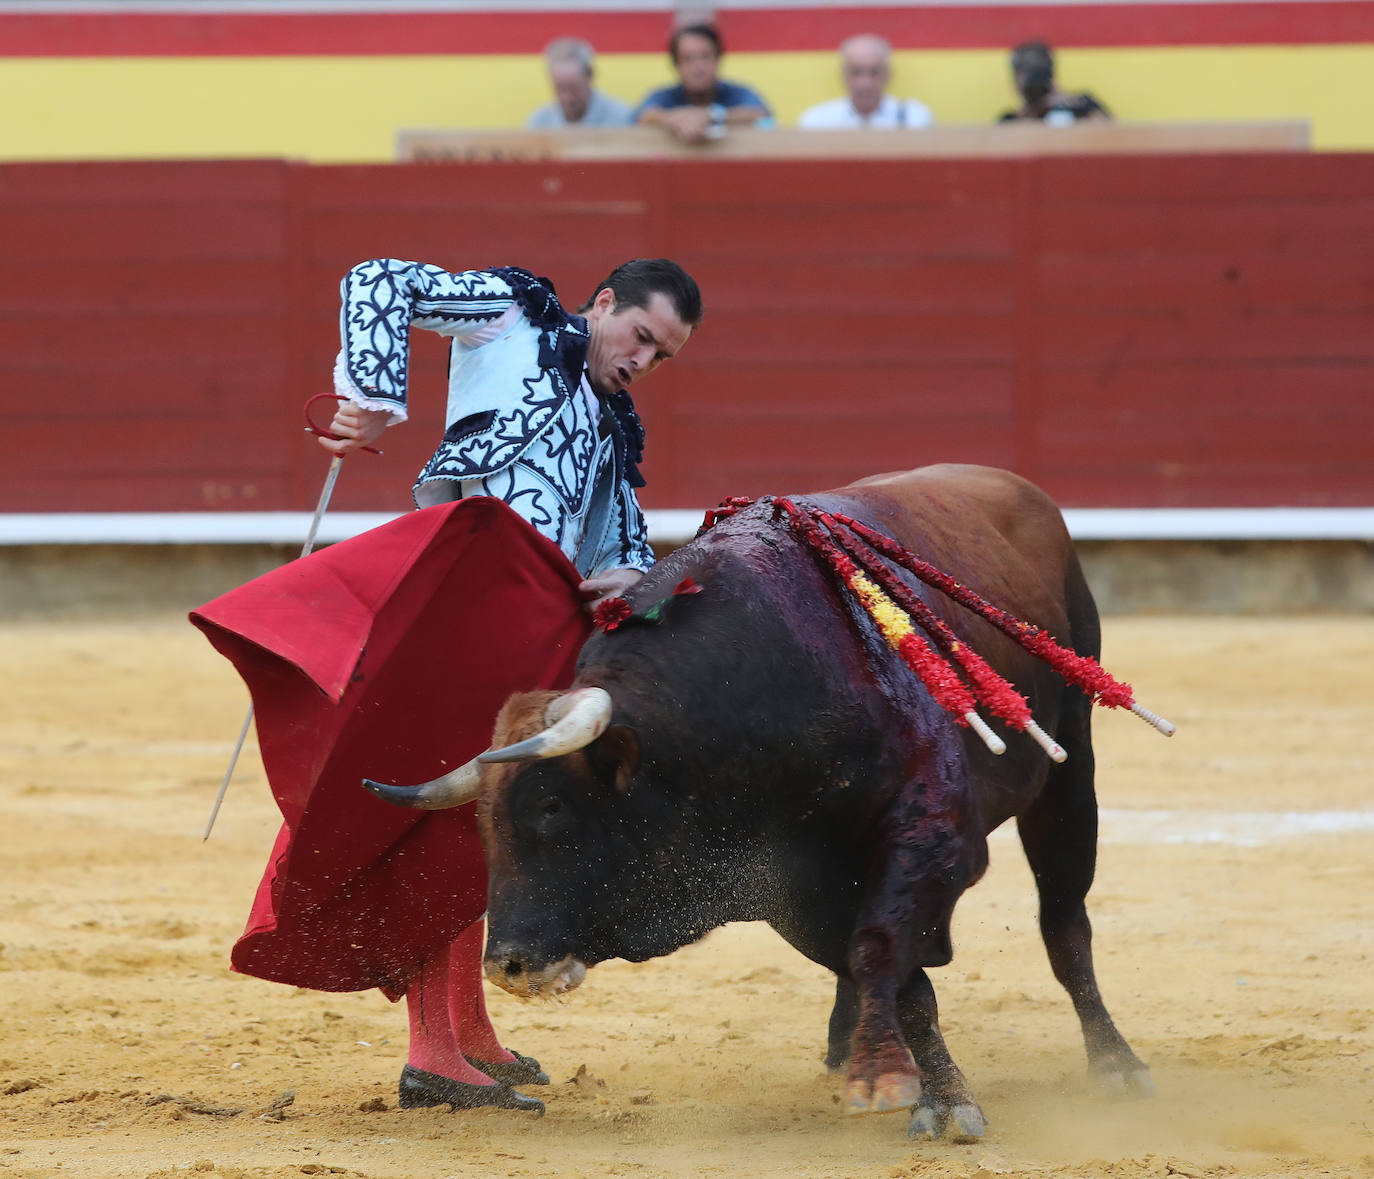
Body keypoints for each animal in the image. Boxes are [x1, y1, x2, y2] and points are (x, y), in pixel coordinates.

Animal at [368, 464, 1159, 1132]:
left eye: (552, 809)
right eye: (482, 825)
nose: (507, 965)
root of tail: (1011, 483)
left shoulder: (933, 837)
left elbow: (882, 946)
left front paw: (915, 1089)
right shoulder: (790, 883)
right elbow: (898, 978)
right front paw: (914, 1081)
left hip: (1072, 766)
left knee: (1065, 923)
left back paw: (1115, 1063)